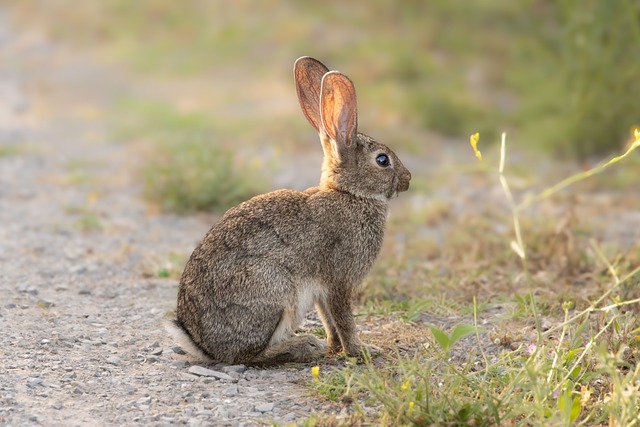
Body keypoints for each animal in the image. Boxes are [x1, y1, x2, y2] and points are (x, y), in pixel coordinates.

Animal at [165, 56, 411, 366]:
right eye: (382, 160)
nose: (407, 179)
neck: (350, 194)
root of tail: (204, 346)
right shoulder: (340, 281)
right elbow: (344, 320)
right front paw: (361, 351)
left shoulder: (321, 290)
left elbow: (329, 320)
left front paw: (335, 348)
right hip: (274, 290)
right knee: (249, 355)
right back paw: (303, 345)